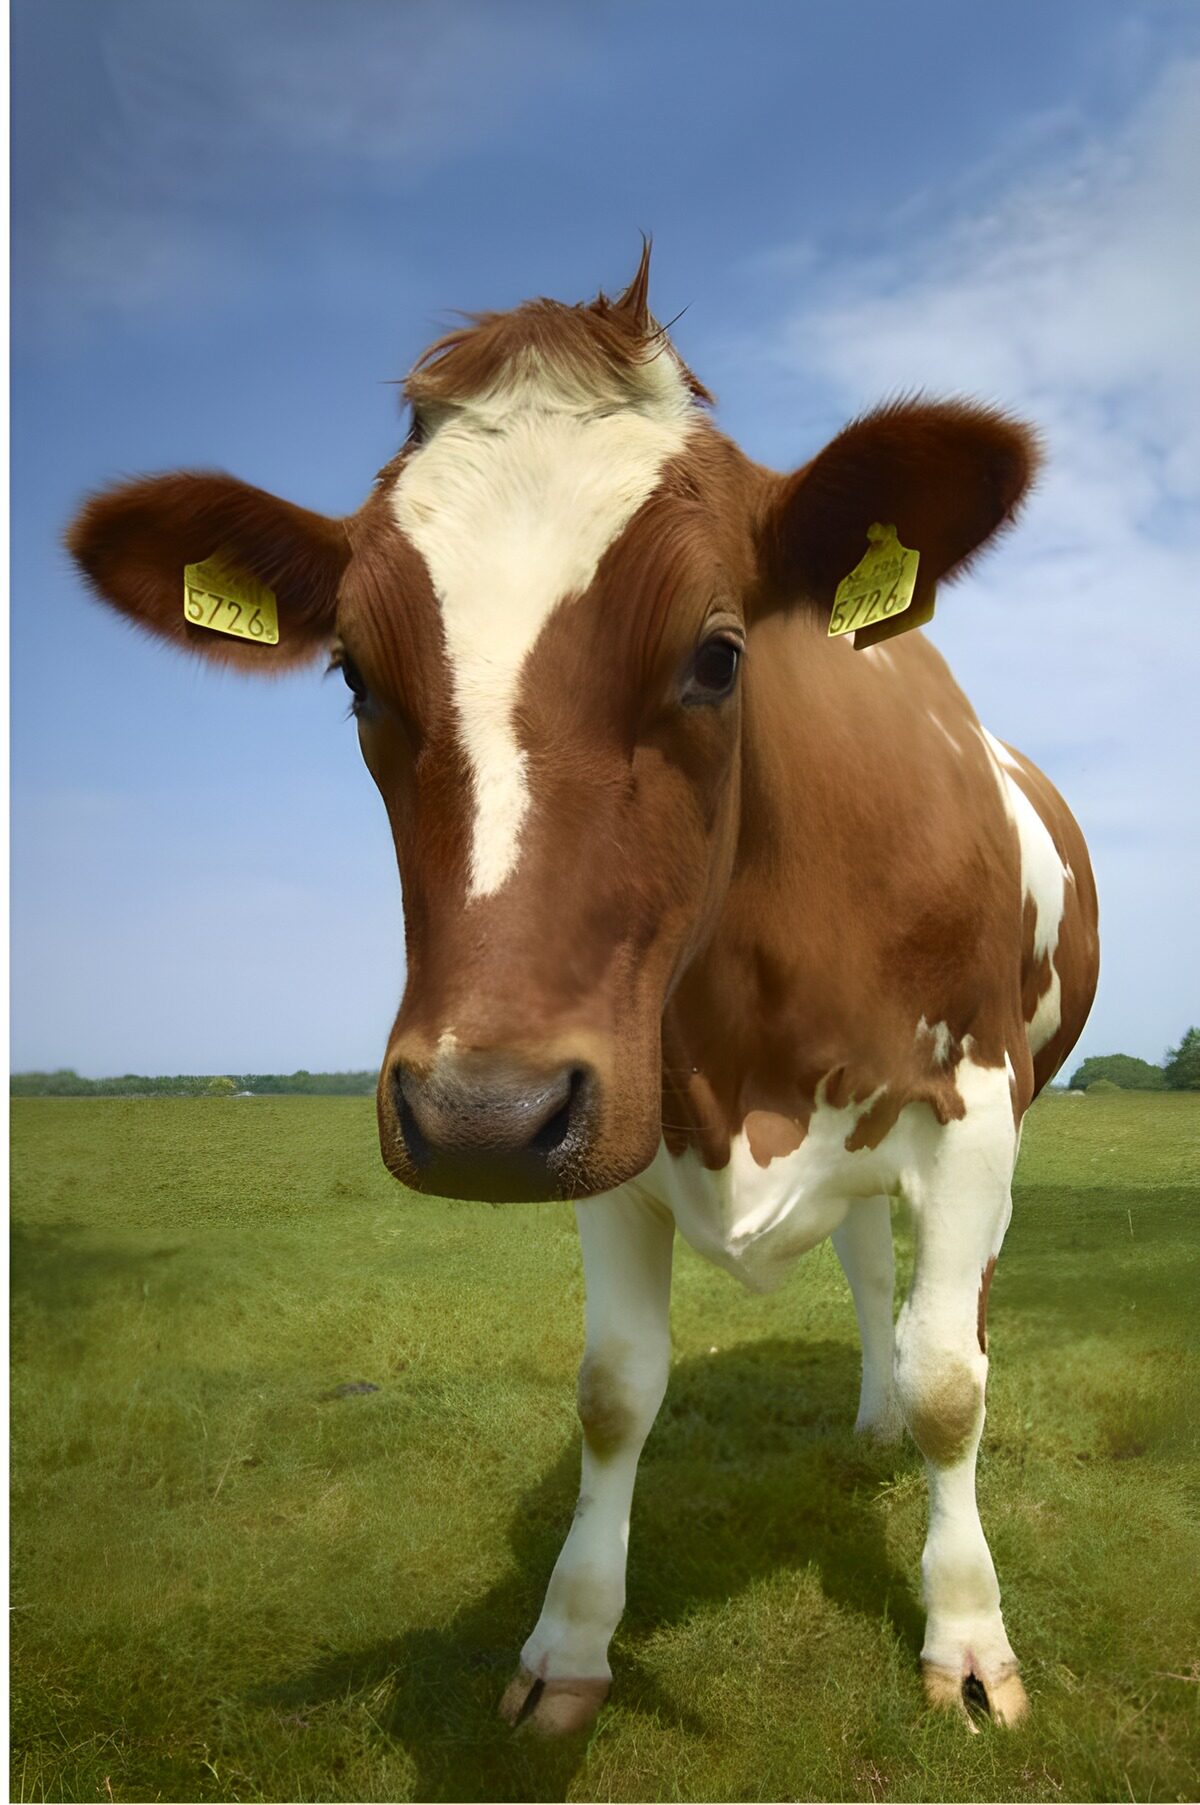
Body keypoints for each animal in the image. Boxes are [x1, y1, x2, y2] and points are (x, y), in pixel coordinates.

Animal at [67, 247, 1099, 1738]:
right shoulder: (613, 1116)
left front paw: (966, 1638)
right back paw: (862, 1423)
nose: (474, 1118)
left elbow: (954, 1382)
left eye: (719, 652)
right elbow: (615, 1391)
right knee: (863, 1265)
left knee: (943, 1312)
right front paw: (569, 1642)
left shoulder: (969, 1101)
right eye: (355, 676)